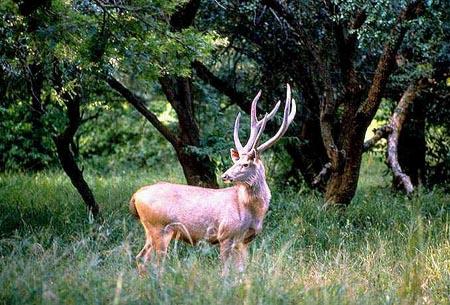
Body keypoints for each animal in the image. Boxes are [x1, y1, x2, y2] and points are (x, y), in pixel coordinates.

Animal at [128, 84, 298, 274]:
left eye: (245, 164)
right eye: (236, 161)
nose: (225, 175)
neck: (251, 211)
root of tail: (136, 196)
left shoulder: (244, 241)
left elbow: (241, 271)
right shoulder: (226, 234)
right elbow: (224, 271)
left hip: (151, 231)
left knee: (141, 257)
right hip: (159, 227)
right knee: (156, 263)